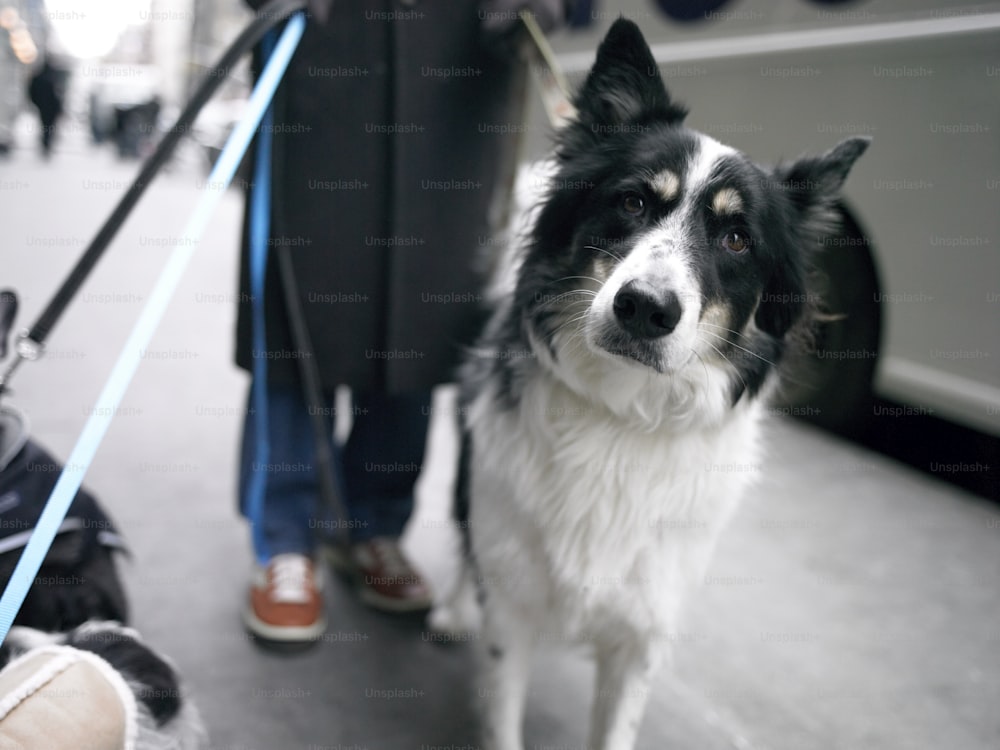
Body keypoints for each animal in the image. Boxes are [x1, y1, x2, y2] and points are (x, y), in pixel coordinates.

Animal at [430, 16, 868, 750]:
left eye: (737, 239)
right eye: (633, 201)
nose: (645, 308)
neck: (623, 415)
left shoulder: (643, 632)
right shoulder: (512, 613)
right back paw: (453, 608)